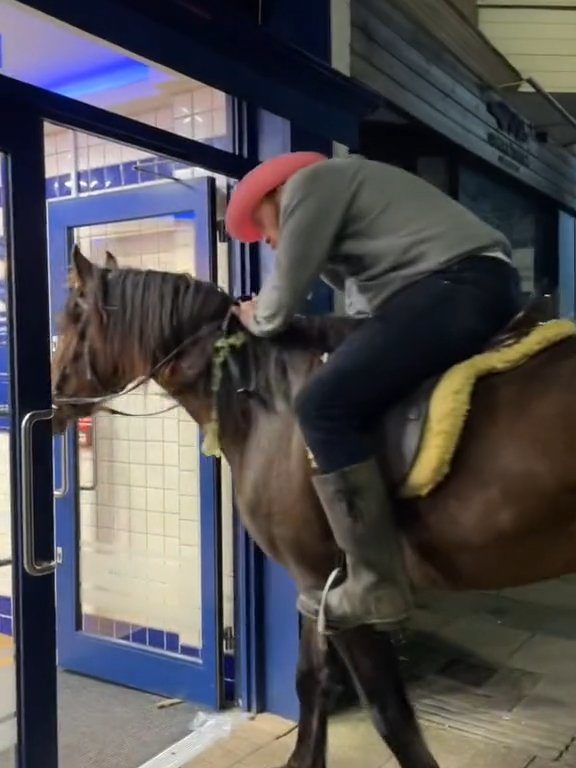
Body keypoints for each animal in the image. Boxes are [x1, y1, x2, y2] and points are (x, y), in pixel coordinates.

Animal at [50, 248, 576, 768]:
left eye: (72, 314)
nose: (52, 399)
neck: (266, 401)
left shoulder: (341, 589)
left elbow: (389, 712)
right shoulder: (313, 584)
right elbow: (312, 681)